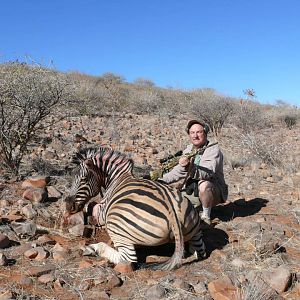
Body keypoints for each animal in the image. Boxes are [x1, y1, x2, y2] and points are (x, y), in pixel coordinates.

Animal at [64, 146, 206, 270]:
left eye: (84, 179)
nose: (68, 206)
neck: (117, 179)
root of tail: (173, 213)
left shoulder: (102, 213)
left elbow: (92, 208)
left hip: (117, 228)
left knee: (128, 259)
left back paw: (92, 248)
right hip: (195, 228)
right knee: (199, 251)